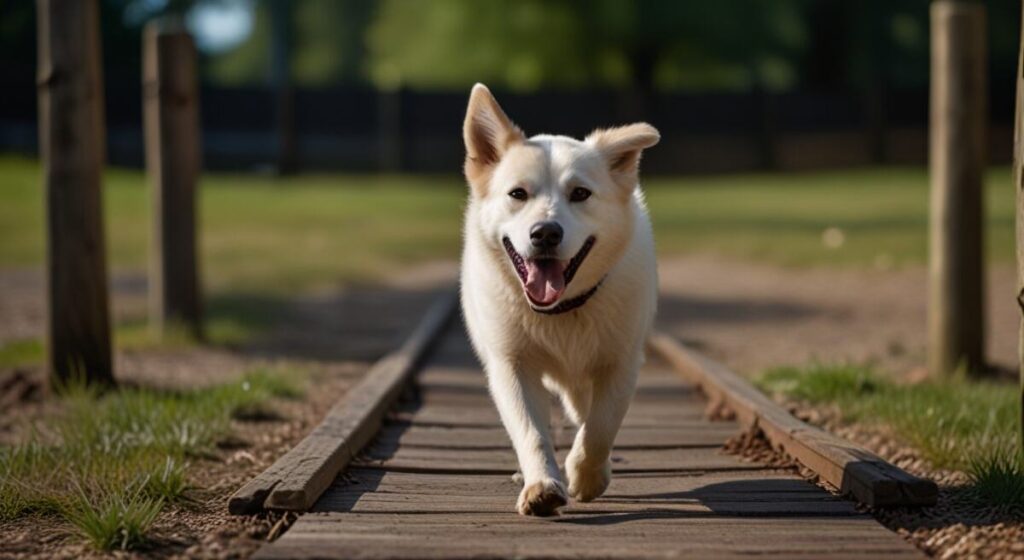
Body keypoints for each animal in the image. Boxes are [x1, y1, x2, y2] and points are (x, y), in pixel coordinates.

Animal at [460, 84, 659, 518]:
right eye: (517, 193)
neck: (560, 310)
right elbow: (531, 432)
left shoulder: (621, 362)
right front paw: (543, 485)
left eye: (580, 194)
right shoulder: (512, 366)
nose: (545, 233)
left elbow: (600, 426)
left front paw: (586, 476)